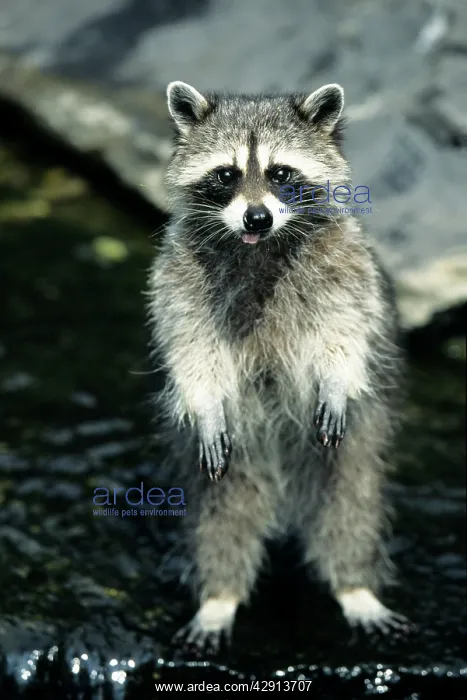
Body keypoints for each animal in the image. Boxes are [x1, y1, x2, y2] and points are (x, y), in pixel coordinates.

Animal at [148, 81, 411, 652]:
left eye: (282, 174)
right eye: (226, 174)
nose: (257, 218)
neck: (259, 246)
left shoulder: (346, 265)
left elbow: (345, 330)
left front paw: (335, 379)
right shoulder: (177, 275)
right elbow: (191, 349)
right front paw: (205, 404)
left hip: (353, 449)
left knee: (351, 509)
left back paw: (355, 587)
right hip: (232, 467)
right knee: (222, 520)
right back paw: (219, 597)